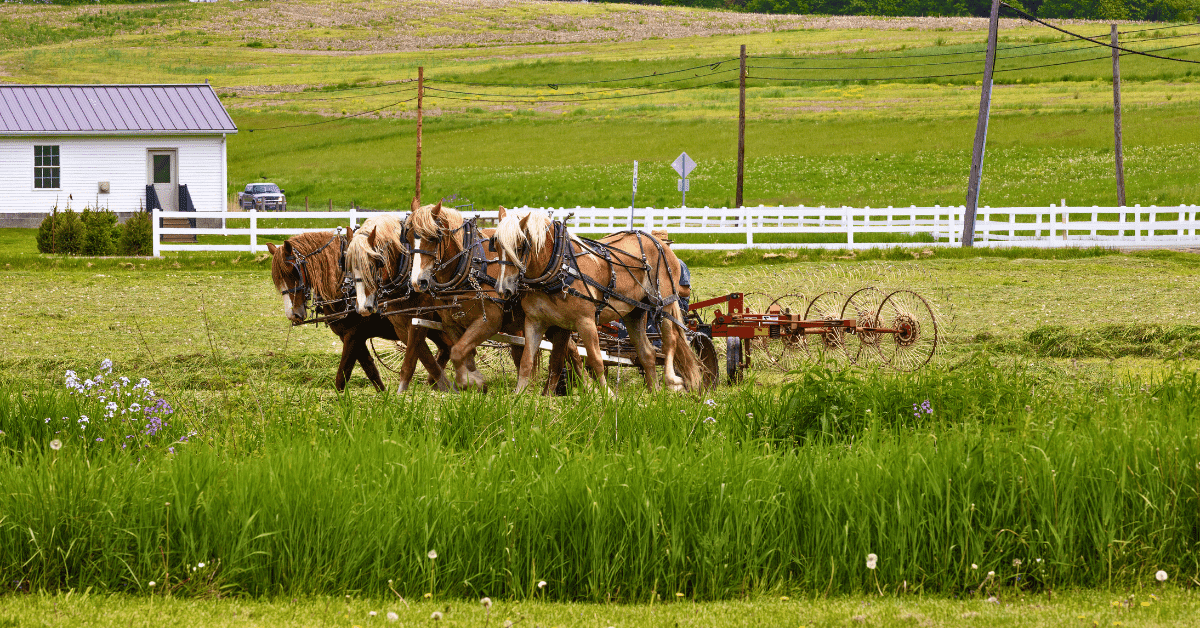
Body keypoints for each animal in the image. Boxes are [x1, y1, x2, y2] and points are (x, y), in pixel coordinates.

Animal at [266, 230, 406, 392]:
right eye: (277, 279)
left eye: (294, 272)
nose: (292, 314)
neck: (347, 287)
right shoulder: (353, 337)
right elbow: (371, 371)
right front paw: (384, 397)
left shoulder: (354, 335)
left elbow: (342, 376)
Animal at [343, 212, 455, 392]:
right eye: (349, 268)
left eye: (375, 264)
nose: (363, 307)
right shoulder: (401, 325)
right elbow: (425, 357)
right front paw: (445, 386)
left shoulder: (419, 319)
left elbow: (412, 360)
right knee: (447, 346)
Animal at [407, 202, 580, 393]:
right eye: (407, 237)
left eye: (432, 238)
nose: (417, 282)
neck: (471, 267)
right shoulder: (451, 324)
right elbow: (463, 353)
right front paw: (473, 382)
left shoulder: (489, 322)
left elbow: (458, 352)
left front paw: (470, 381)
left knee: (565, 355)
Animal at [493, 210, 702, 394]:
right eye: (495, 245)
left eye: (520, 246)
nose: (503, 288)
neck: (558, 267)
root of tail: (659, 243)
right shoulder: (535, 322)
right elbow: (526, 361)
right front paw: (518, 395)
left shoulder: (585, 321)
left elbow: (595, 360)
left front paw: (608, 395)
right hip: (634, 312)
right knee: (647, 353)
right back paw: (655, 394)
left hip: (664, 303)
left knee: (670, 341)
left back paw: (672, 380)